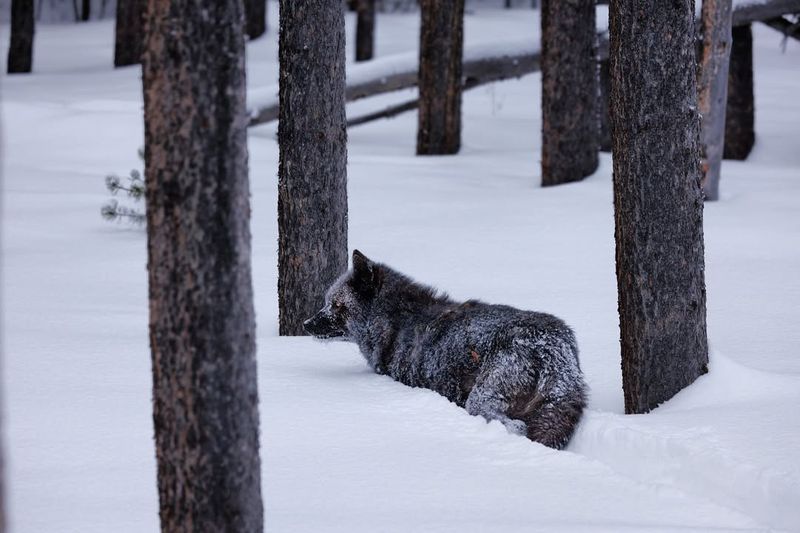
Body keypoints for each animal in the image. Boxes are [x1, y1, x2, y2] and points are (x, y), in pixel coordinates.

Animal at [306, 250, 588, 448]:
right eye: (327, 302)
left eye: (337, 305)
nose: (306, 324)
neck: (394, 318)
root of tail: (553, 345)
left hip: (481, 398)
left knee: (516, 426)